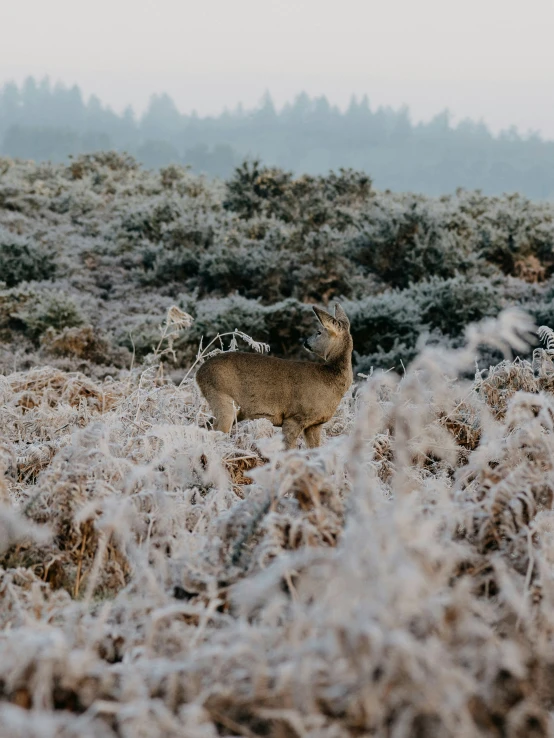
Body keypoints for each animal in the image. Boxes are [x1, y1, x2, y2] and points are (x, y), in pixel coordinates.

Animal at [195, 304, 350, 448]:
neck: (330, 378)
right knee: (215, 432)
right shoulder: (295, 416)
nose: (305, 342)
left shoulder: (315, 424)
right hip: (222, 398)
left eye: (318, 332)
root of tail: (198, 373)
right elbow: (288, 448)